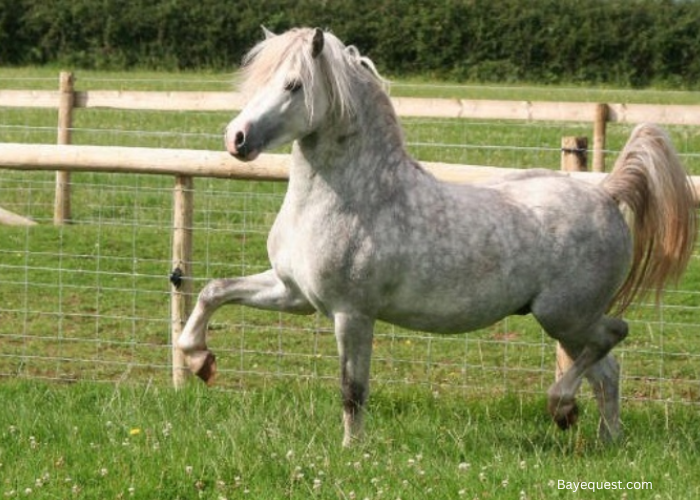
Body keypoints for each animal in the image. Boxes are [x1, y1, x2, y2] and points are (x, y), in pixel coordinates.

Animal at [178, 27, 696, 448]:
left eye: (293, 84)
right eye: (259, 80)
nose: (236, 139)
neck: (355, 198)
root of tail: (607, 192)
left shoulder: (352, 313)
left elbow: (352, 389)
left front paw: (351, 450)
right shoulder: (294, 293)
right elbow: (213, 292)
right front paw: (199, 360)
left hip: (565, 314)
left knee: (614, 336)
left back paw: (562, 407)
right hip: (567, 323)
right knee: (608, 372)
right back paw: (604, 439)